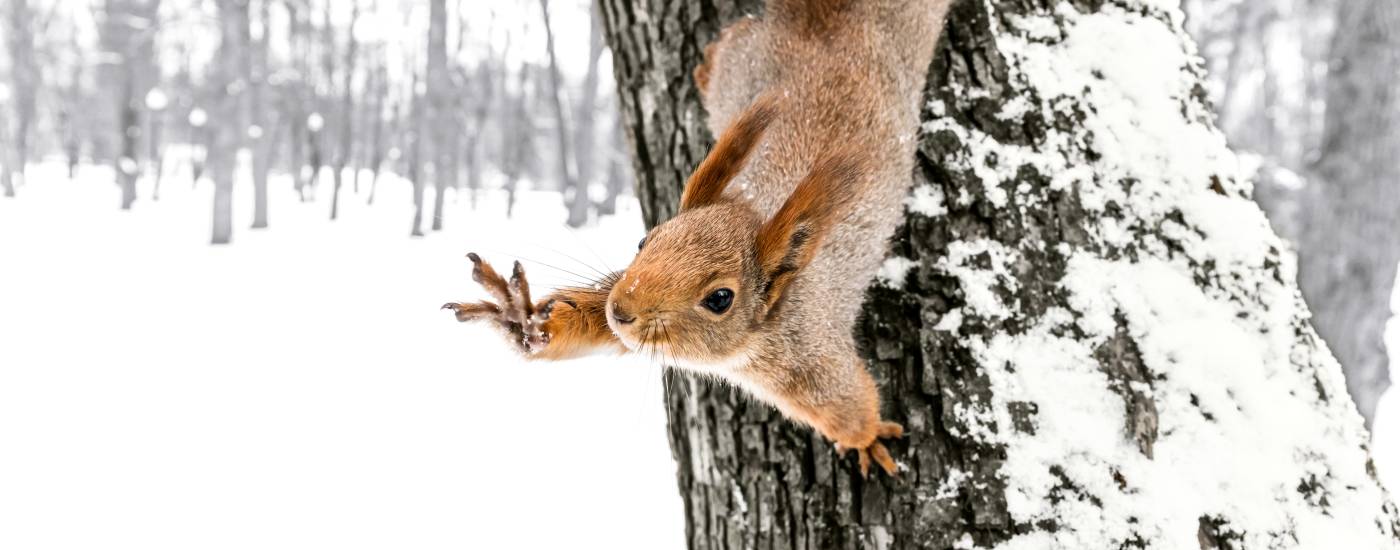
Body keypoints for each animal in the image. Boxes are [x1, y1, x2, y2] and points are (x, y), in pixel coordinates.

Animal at [445, 0, 952, 475]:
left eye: (720, 298)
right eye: (644, 241)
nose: (621, 310)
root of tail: (827, 27)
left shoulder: (814, 356)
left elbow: (849, 405)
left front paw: (868, 438)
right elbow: (590, 325)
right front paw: (523, 319)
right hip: (742, 62)